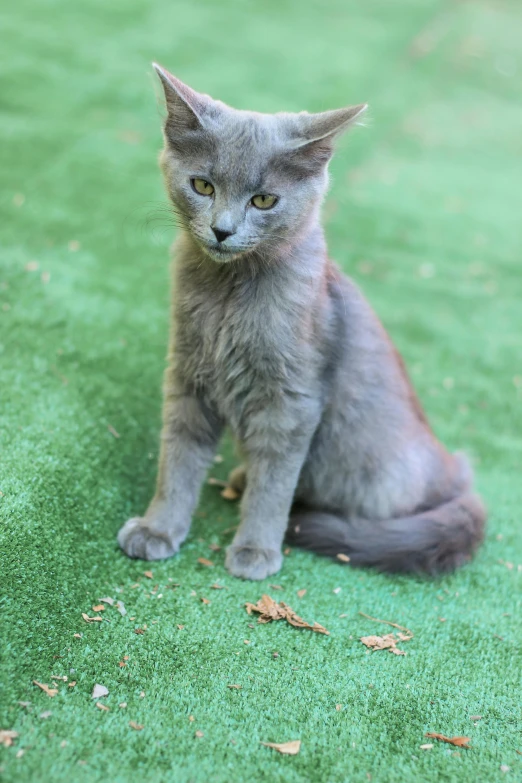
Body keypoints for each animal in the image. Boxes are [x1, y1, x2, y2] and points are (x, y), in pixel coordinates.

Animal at [118, 64, 484, 580]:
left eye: (264, 200)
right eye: (203, 186)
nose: (222, 230)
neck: (228, 294)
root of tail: (457, 476)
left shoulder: (292, 401)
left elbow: (274, 483)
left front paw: (255, 550)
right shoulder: (188, 377)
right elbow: (178, 461)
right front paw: (159, 529)